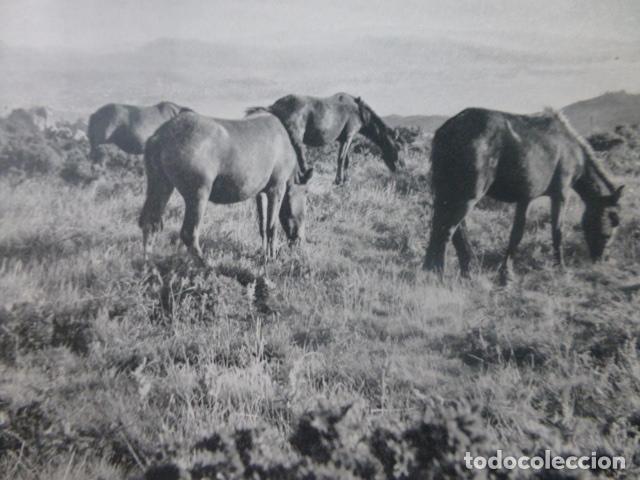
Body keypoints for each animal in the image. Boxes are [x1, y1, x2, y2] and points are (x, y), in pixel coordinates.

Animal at [138, 111, 313, 266]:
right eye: (305, 192)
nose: (300, 240)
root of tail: (161, 135)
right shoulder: (276, 190)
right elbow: (272, 227)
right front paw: (272, 257)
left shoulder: (261, 194)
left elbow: (263, 226)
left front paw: (264, 254)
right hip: (197, 196)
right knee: (189, 233)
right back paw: (206, 266)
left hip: (160, 187)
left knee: (149, 224)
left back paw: (149, 265)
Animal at [246, 93, 402, 185]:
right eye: (396, 147)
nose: (396, 168)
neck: (358, 111)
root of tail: (273, 106)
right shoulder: (349, 136)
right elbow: (341, 159)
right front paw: (339, 180)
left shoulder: (345, 139)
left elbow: (346, 159)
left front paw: (345, 179)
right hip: (295, 137)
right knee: (300, 156)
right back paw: (305, 176)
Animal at [423, 107, 624, 283]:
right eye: (614, 220)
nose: (601, 260)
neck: (572, 149)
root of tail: (449, 128)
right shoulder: (560, 194)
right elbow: (557, 232)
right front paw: (560, 267)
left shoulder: (525, 198)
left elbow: (516, 234)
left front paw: (506, 273)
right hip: (467, 196)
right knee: (446, 231)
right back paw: (440, 276)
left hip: (447, 193)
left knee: (447, 231)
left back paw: (456, 272)